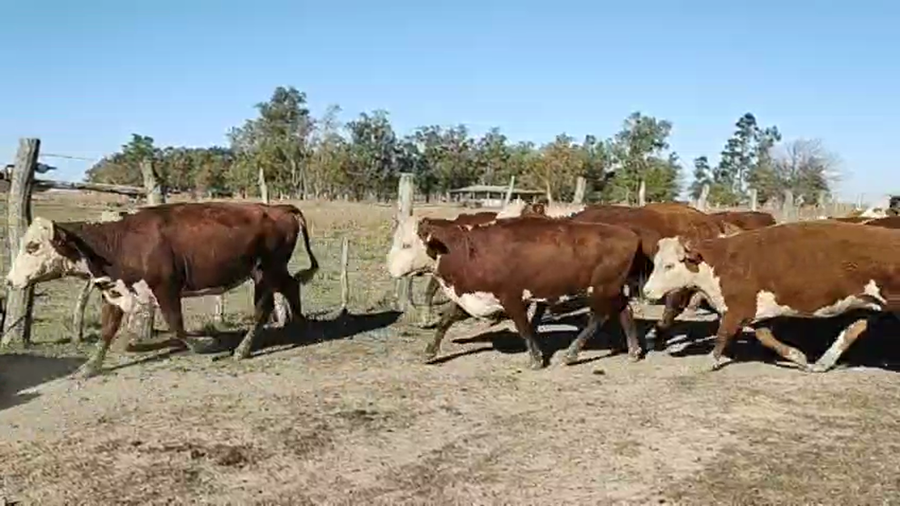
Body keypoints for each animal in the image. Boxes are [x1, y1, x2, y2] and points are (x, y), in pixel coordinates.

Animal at [5, 202, 319, 378]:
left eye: (33, 246)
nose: (9, 281)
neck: (117, 240)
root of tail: (277, 208)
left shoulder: (166, 287)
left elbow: (176, 325)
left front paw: (205, 345)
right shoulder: (114, 291)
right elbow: (107, 331)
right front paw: (90, 367)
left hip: (265, 272)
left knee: (262, 309)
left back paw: (242, 349)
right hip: (273, 271)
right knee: (292, 286)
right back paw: (302, 326)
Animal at [420, 216, 643, 369]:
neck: (471, 250)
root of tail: (629, 234)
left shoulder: (511, 297)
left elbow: (524, 327)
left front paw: (536, 359)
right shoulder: (475, 297)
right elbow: (446, 320)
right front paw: (430, 352)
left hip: (602, 289)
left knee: (599, 317)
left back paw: (571, 354)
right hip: (613, 290)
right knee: (625, 311)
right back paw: (634, 351)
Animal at [641, 221, 900, 372]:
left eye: (669, 265)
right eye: (656, 262)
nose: (646, 291)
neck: (721, 262)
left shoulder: (736, 309)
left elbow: (722, 335)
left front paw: (709, 361)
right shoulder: (755, 313)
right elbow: (766, 337)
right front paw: (798, 357)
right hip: (868, 304)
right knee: (853, 330)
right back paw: (822, 363)